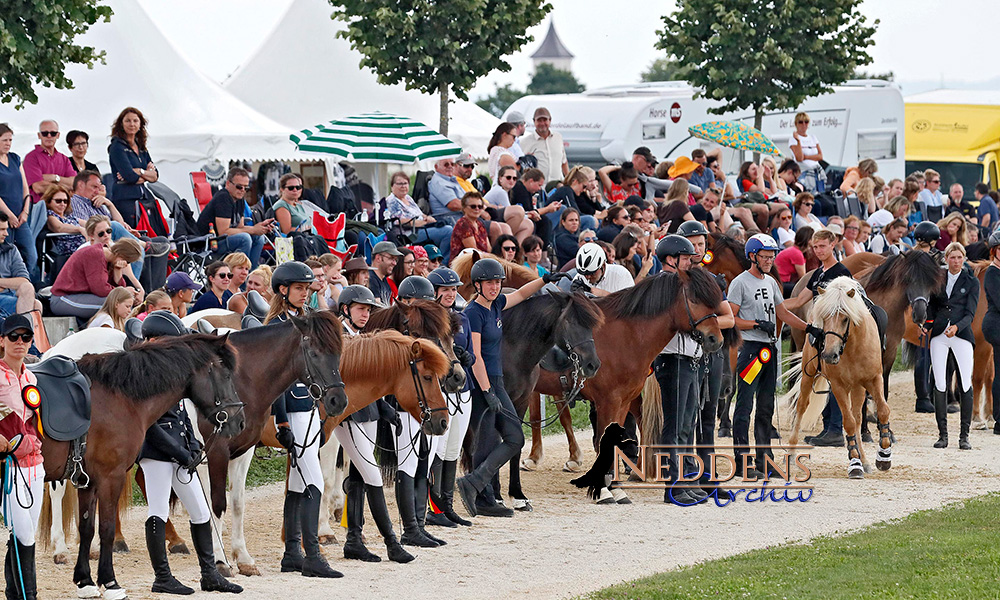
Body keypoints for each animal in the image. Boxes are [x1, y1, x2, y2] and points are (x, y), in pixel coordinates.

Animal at [41, 332, 248, 600]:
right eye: (226, 375)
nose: (240, 423)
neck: (116, 397)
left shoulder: (87, 480)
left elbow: (86, 527)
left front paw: (85, 581)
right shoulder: (111, 476)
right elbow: (106, 528)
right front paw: (110, 583)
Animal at [784, 276, 896, 478]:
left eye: (845, 318)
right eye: (824, 318)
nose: (829, 355)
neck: (852, 347)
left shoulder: (874, 379)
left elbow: (883, 411)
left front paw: (883, 456)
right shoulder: (838, 386)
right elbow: (849, 423)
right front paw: (854, 463)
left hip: (858, 387)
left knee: (858, 417)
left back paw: (865, 460)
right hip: (808, 376)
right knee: (802, 406)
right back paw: (791, 453)